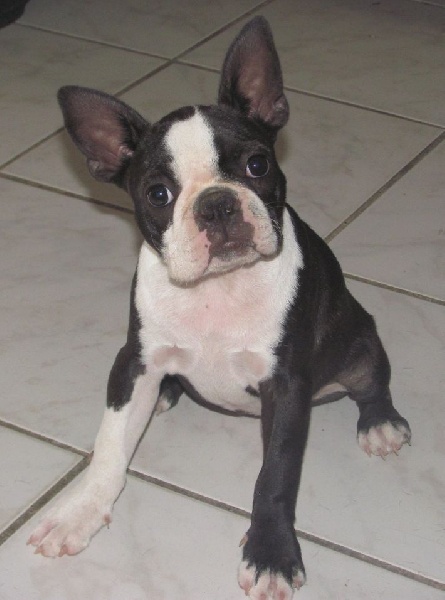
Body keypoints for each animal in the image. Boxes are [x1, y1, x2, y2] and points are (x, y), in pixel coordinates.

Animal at [27, 17, 411, 599]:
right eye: (158, 194)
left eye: (257, 164)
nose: (216, 204)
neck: (218, 289)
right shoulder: (134, 361)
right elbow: (110, 446)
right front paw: (80, 512)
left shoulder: (286, 385)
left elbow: (275, 477)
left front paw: (271, 554)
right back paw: (167, 393)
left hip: (359, 338)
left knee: (372, 380)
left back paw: (381, 424)